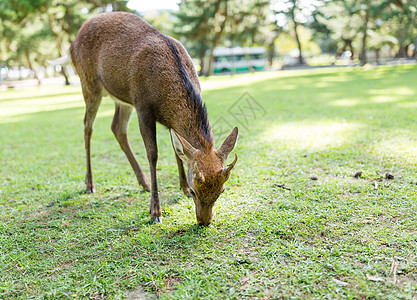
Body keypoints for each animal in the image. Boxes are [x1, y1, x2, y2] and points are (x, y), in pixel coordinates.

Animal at [66, 12, 239, 226]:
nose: (204, 221)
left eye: (221, 191)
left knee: (117, 127)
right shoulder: (143, 107)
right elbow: (153, 154)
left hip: (123, 99)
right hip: (89, 84)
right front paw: (155, 211)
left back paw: (144, 183)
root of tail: (72, 43)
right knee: (87, 127)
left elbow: (177, 151)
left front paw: (180, 186)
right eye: (194, 191)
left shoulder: (168, 122)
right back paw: (90, 183)